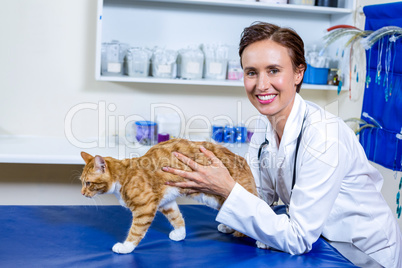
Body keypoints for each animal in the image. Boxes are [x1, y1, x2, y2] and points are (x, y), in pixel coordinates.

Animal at [81, 138, 258, 253]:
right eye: (82, 182)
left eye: (88, 183)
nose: (82, 193)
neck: (124, 176)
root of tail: (243, 161)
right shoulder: (166, 202)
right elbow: (176, 218)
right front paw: (180, 234)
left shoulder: (145, 208)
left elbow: (136, 231)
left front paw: (125, 247)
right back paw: (228, 227)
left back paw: (262, 243)